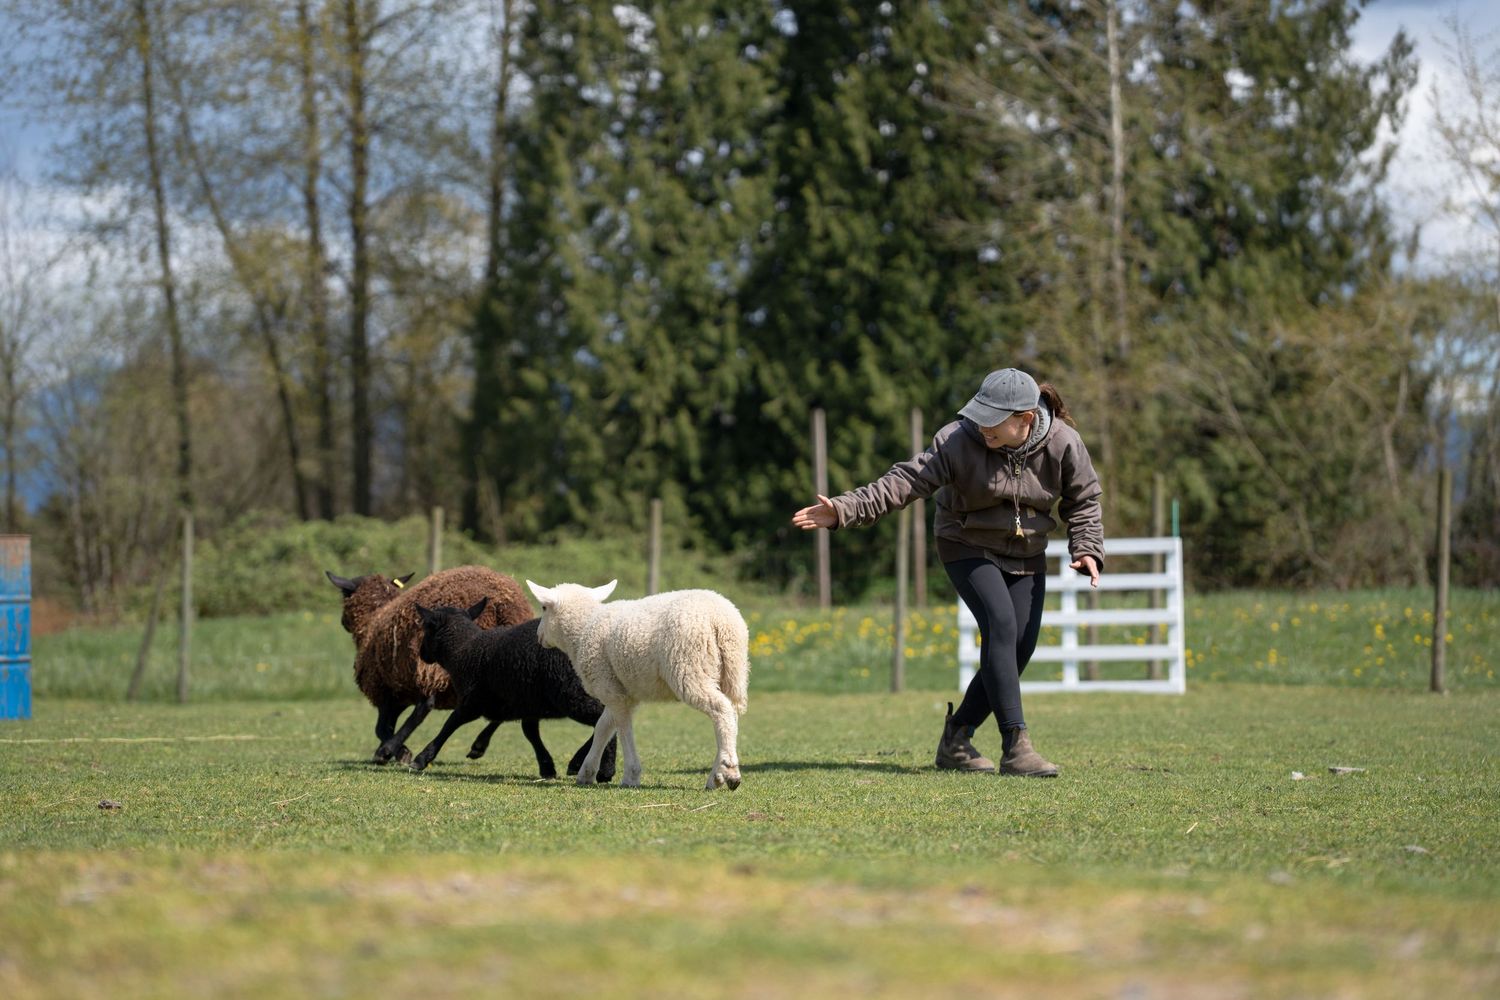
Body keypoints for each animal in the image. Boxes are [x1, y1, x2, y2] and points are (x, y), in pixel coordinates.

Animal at [325, 565, 534, 765]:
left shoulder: (384, 688)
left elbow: (381, 728)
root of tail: (501, 605)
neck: (374, 617)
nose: (342, 621)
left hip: (433, 668)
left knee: (425, 705)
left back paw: (392, 749)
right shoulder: (401, 691)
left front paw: (394, 751)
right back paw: (479, 745)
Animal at [410, 598, 616, 781]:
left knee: (603, 720)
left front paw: (421, 759)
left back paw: (602, 770)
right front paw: (546, 766)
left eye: (426, 627)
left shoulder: (473, 701)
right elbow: (529, 732)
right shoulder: (522, 700)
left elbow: (451, 723)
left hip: (572, 693)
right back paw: (586, 765)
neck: (464, 650)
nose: (421, 654)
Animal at [524, 580, 750, 791]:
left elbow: (623, 729)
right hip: (732, 673)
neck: (584, 628)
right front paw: (586, 773)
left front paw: (631, 775)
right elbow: (603, 727)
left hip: (690, 667)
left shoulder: (609, 687)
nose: (538, 635)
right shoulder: (621, 690)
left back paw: (728, 772)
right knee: (732, 716)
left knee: (721, 710)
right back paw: (718, 775)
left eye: (543, 607)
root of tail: (723, 621)